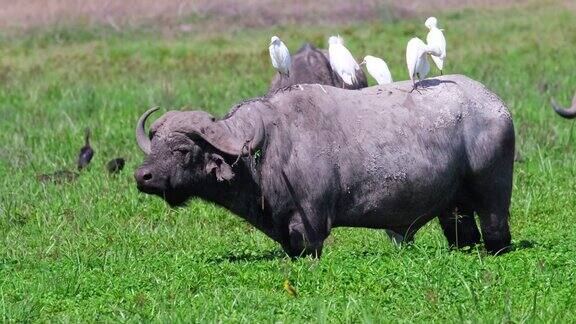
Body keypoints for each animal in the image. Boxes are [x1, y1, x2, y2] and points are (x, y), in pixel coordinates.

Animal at [135, 74, 512, 256]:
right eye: (156, 144)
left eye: (182, 150)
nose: (143, 175)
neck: (269, 150)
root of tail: (497, 105)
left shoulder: (310, 226)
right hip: (454, 208)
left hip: (493, 195)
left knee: (496, 229)